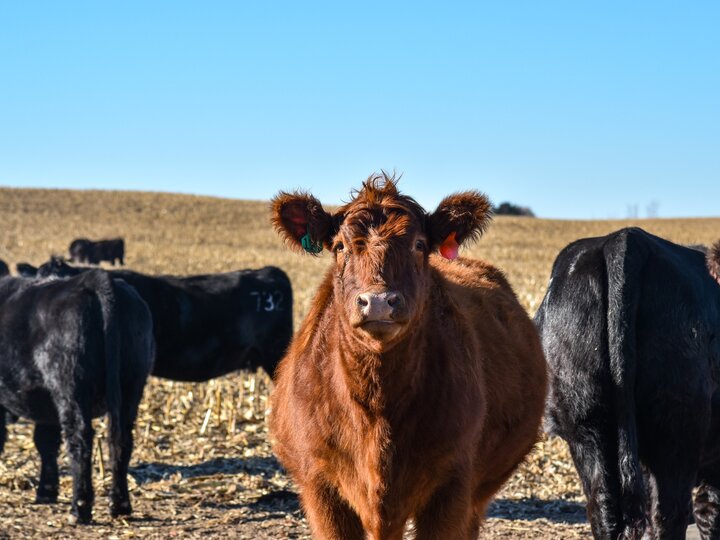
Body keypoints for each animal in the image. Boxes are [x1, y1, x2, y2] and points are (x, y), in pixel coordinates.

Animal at [0, 270, 155, 523]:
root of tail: (91, 278)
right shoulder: (46, 405)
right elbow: (46, 442)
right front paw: (46, 492)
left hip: (71, 385)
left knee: (79, 438)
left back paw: (79, 508)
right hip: (131, 384)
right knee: (122, 439)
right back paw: (120, 504)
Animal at [269, 174, 547, 539]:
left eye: (418, 244)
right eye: (340, 246)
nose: (377, 301)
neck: (377, 403)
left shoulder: (452, 485)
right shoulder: (320, 486)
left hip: (476, 496)